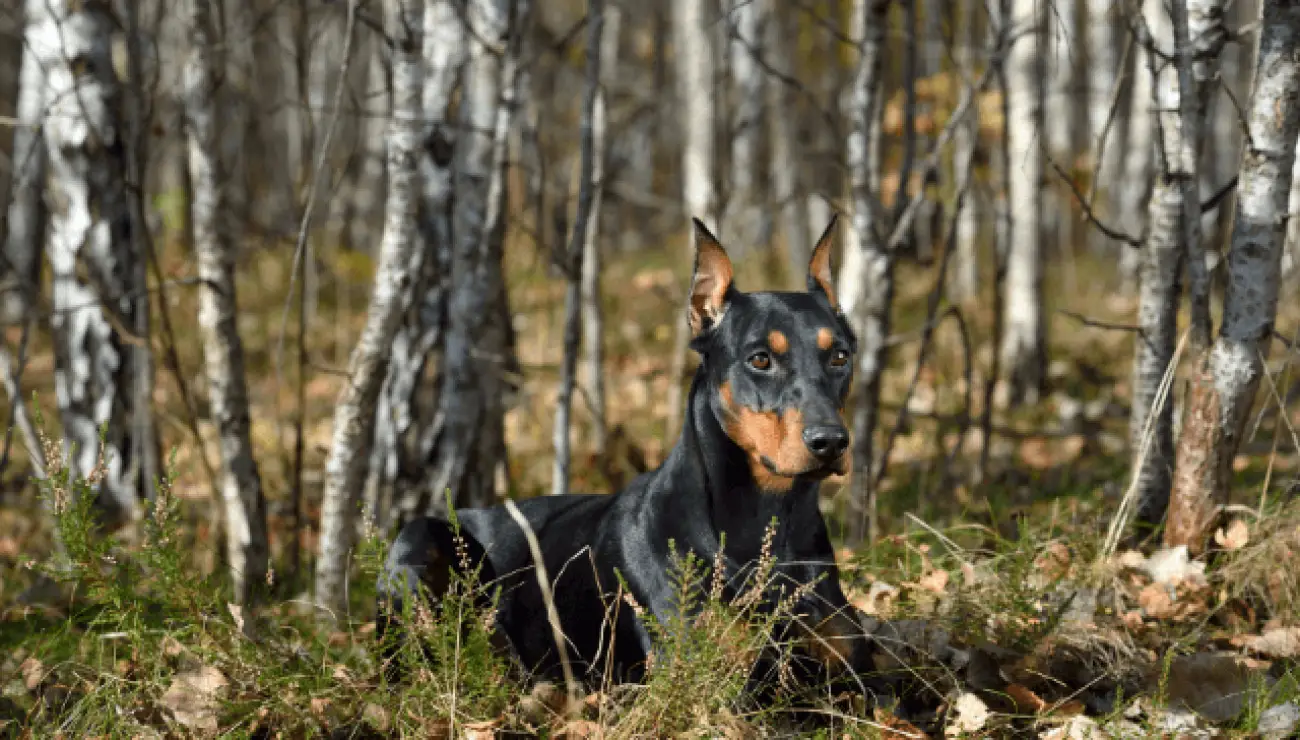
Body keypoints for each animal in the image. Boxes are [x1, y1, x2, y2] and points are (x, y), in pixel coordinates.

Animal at [377, 215, 883, 697]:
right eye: (760, 359)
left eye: (840, 356)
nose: (831, 442)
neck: (771, 520)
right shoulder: (704, 684)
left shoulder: (857, 683)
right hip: (420, 541)